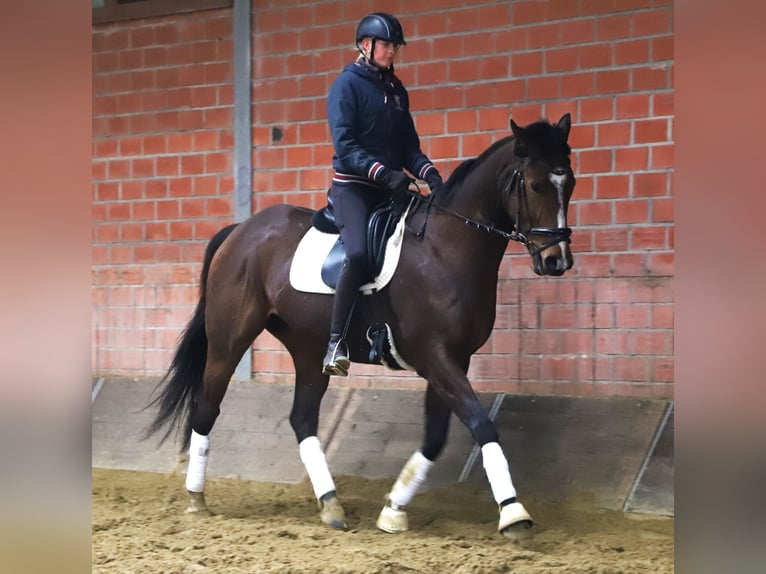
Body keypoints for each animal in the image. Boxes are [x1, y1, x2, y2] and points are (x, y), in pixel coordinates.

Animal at [146, 113, 576, 539]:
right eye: (535, 184)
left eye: (569, 182)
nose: (556, 261)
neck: (445, 248)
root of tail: (240, 230)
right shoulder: (434, 356)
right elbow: (482, 424)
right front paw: (513, 512)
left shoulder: (455, 359)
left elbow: (435, 438)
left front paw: (394, 508)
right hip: (229, 339)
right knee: (206, 409)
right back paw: (197, 498)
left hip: (308, 348)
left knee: (302, 419)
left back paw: (330, 504)